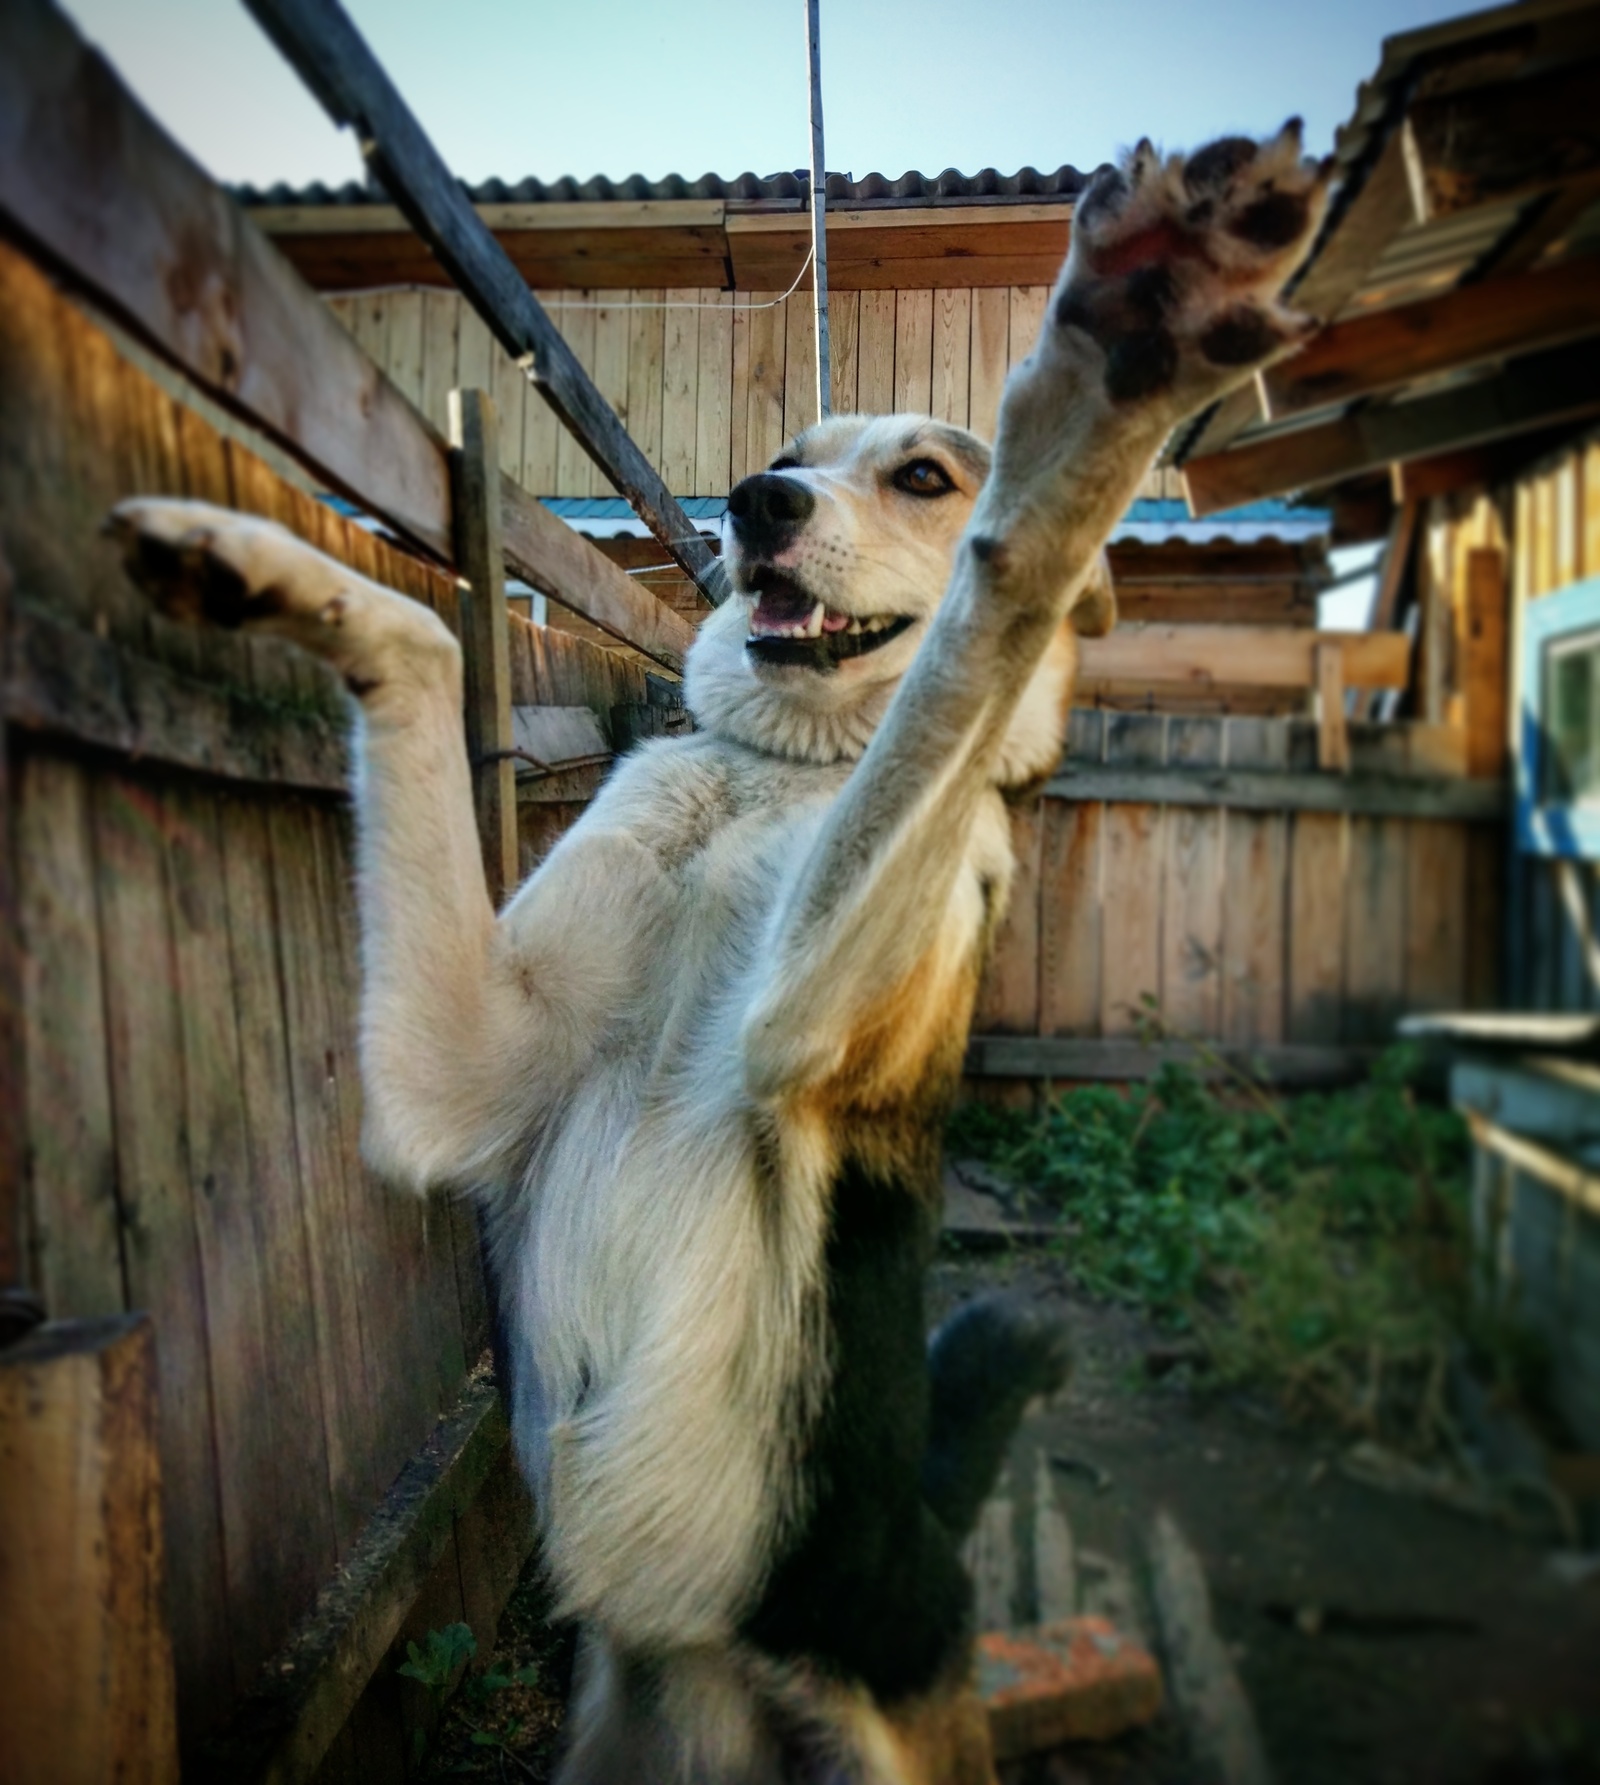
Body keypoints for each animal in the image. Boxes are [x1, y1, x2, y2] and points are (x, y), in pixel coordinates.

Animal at [112, 125, 1328, 1785]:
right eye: (797, 450)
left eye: (927, 474)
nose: (755, 500)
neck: (777, 774)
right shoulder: (456, 1071)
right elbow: (427, 643)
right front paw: (252, 558)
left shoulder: (796, 1020)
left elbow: (979, 631)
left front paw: (1112, 374)